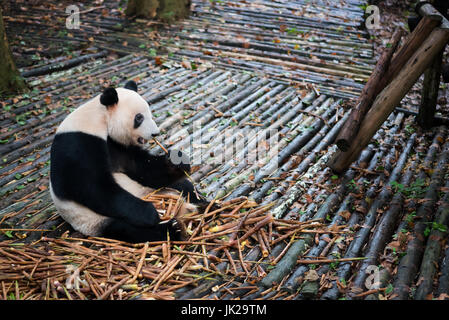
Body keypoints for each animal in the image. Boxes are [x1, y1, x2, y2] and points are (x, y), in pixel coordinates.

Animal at [49, 80, 203, 242]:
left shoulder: (117, 145)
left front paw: (177, 161)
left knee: (184, 186)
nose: (155, 133)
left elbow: (141, 168)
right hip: (95, 220)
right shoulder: (78, 143)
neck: (100, 118)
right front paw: (150, 212)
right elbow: (93, 187)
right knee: (131, 230)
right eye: (139, 118)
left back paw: (203, 204)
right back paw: (174, 228)